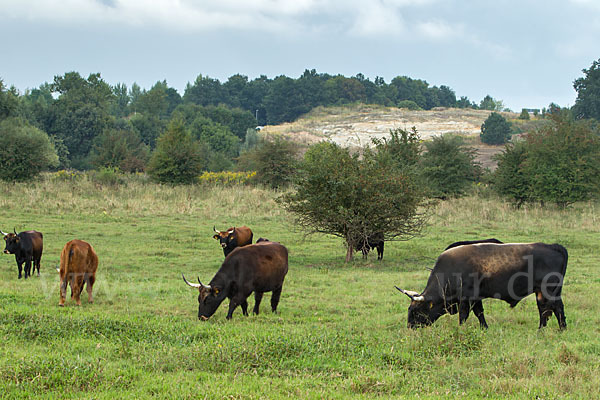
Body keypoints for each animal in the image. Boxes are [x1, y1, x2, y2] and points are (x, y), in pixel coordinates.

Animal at [396, 242, 568, 330]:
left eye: (417, 311)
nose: (410, 327)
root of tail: (553, 246)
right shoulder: (476, 298)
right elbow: (480, 313)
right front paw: (484, 328)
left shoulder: (466, 298)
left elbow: (463, 315)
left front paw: (461, 329)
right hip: (541, 292)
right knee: (544, 310)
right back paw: (541, 329)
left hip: (550, 290)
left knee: (557, 308)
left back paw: (562, 329)